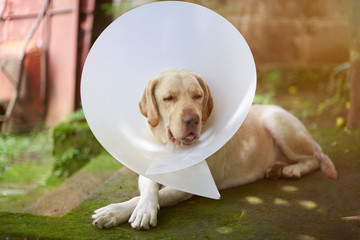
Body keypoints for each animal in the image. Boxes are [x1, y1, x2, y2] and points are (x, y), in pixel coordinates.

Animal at [90, 68, 338, 231]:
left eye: (197, 96)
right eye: (168, 98)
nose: (192, 120)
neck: (174, 151)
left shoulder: (188, 188)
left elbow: (152, 196)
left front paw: (129, 212)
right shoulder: (151, 172)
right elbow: (148, 189)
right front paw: (121, 210)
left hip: (277, 121)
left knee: (314, 157)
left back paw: (292, 169)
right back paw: (276, 168)